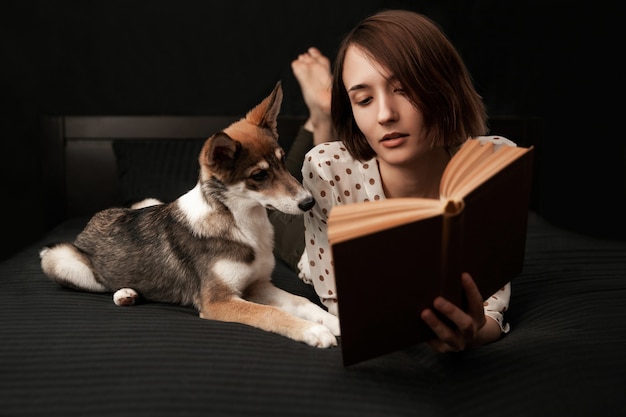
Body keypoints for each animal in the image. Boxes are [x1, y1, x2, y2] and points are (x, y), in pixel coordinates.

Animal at [39, 81, 338, 348]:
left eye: (283, 160)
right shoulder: (218, 301)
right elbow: (270, 313)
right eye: (259, 176)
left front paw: (332, 321)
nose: (309, 202)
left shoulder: (258, 285)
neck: (240, 222)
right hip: (56, 259)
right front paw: (313, 331)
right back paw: (124, 291)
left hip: (148, 200)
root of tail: (96, 218)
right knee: (101, 281)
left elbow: (302, 301)